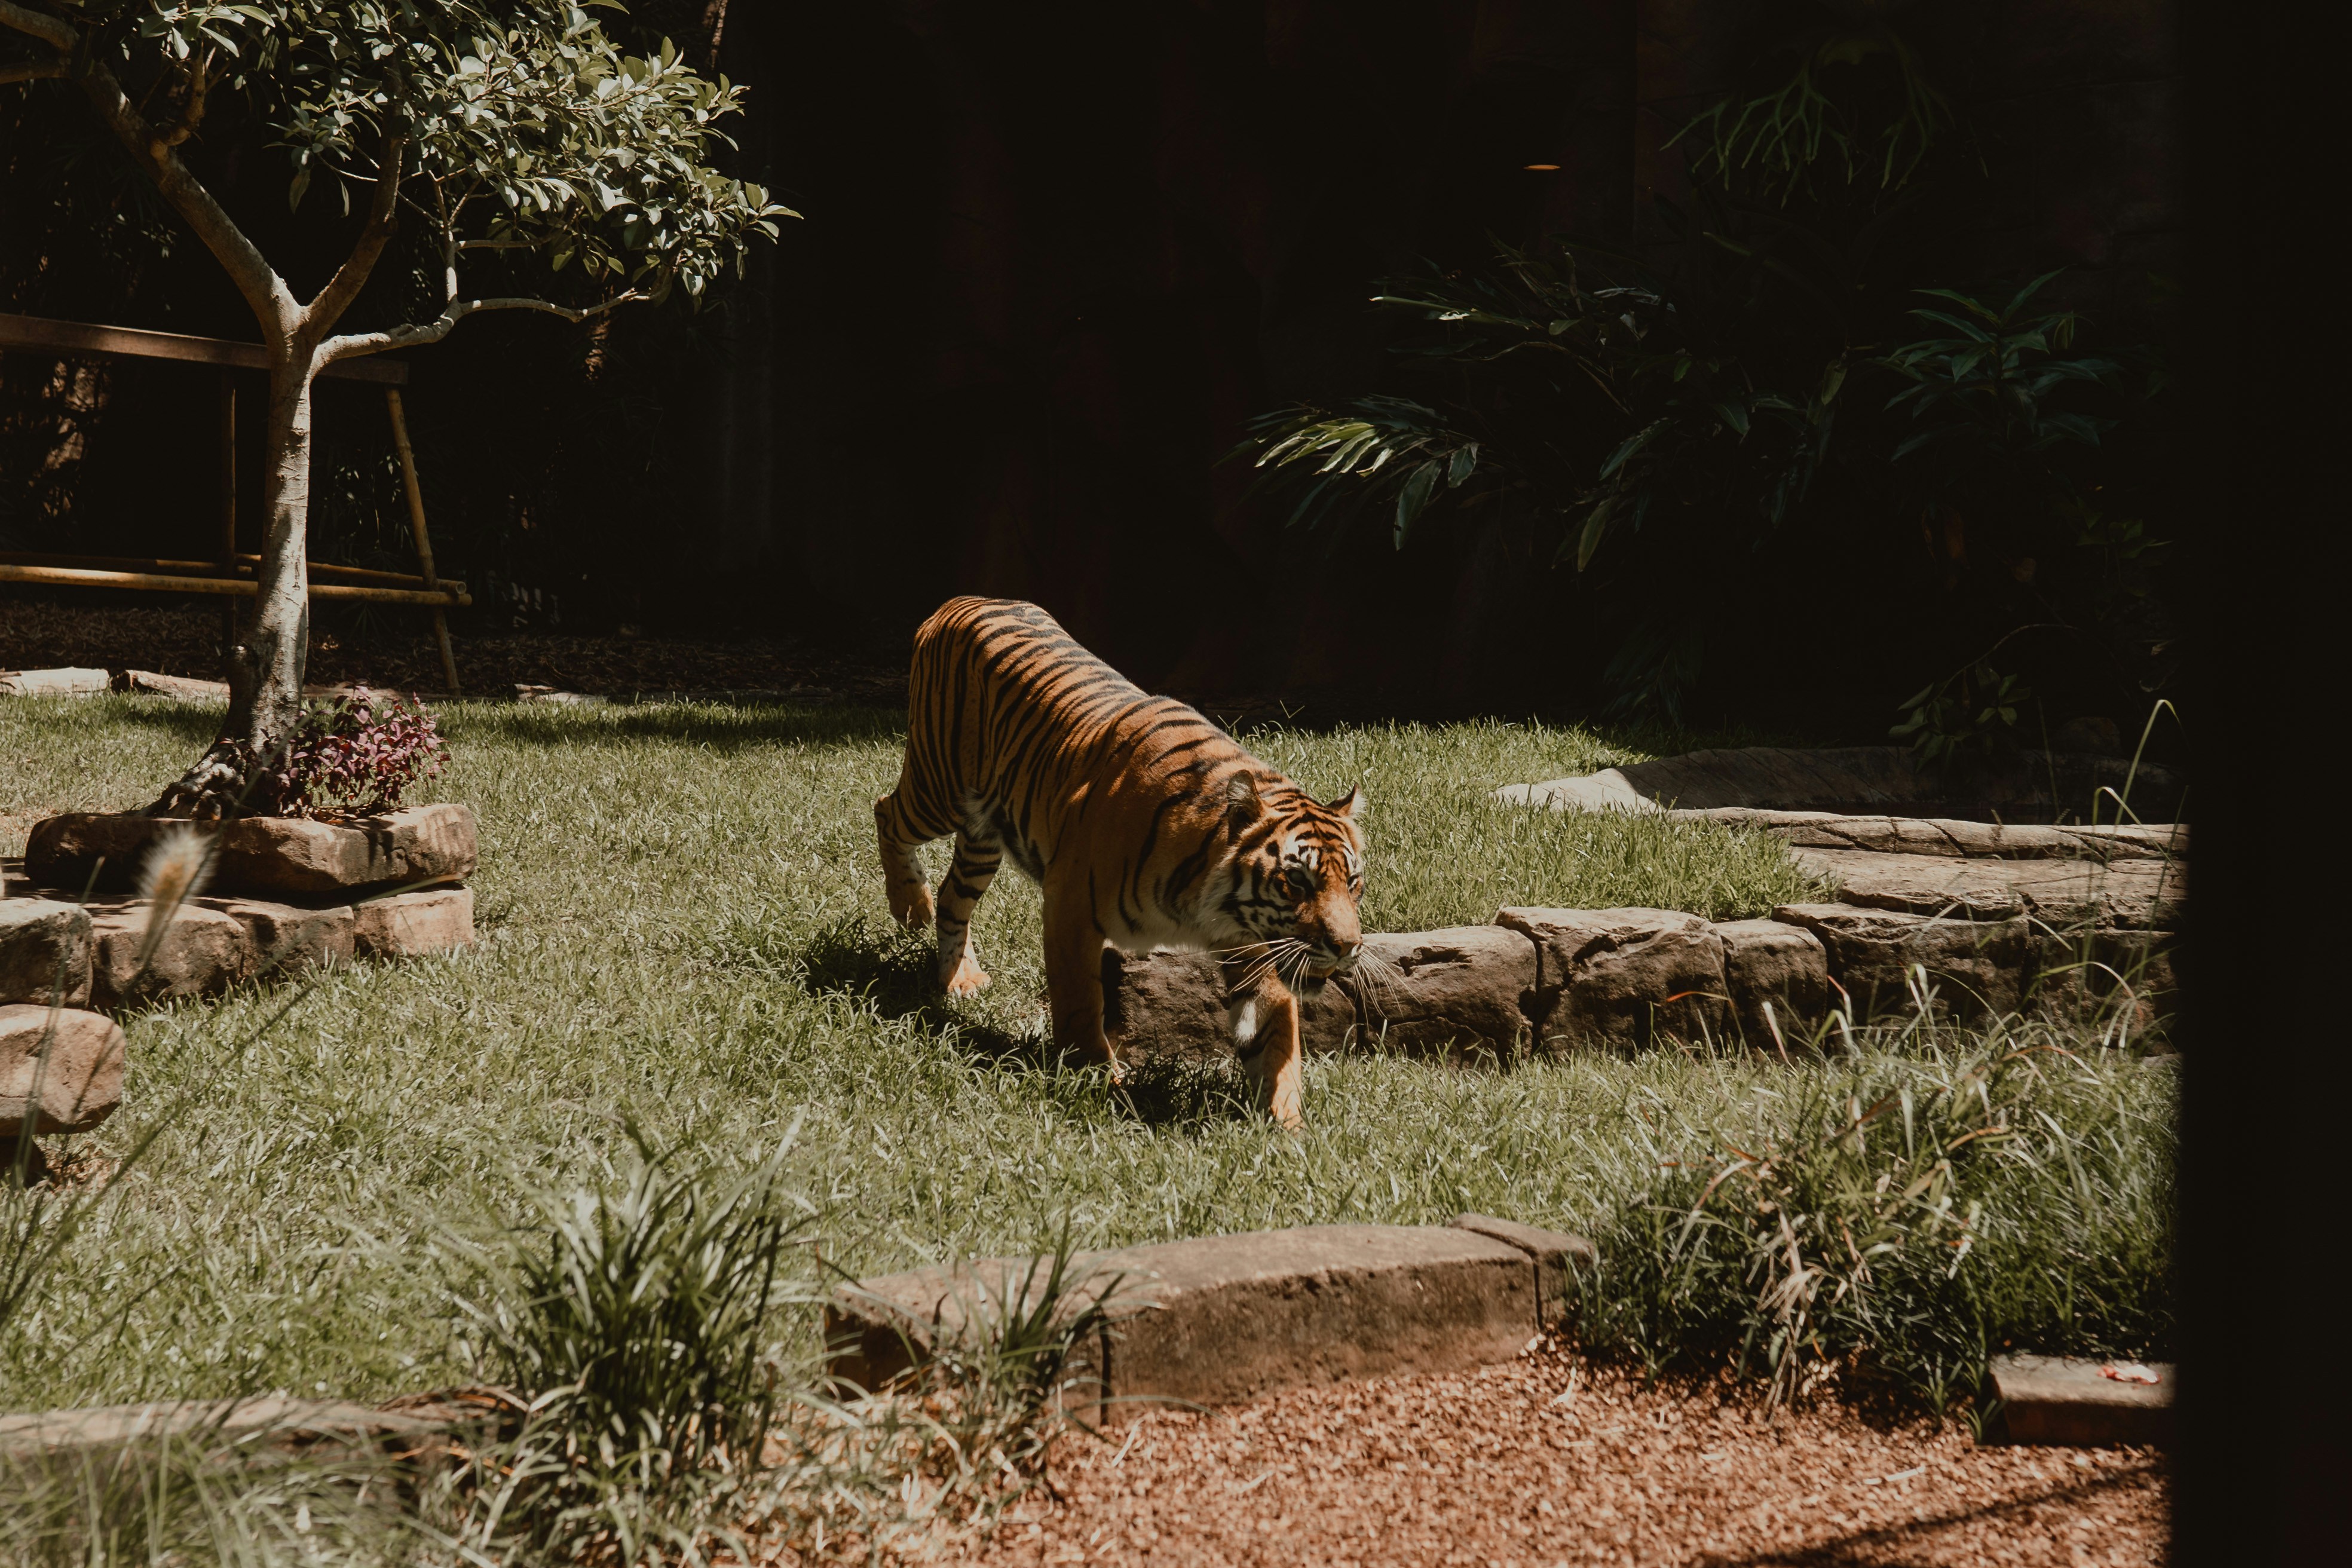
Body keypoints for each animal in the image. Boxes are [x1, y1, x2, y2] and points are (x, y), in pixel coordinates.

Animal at [874, 596, 1367, 1129]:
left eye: (1353, 883)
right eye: (1295, 882)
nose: (1347, 947)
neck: (1205, 905)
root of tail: (964, 600)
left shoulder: (1257, 946)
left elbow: (1277, 1041)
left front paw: (1288, 1126)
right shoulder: (1070, 910)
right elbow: (1081, 1006)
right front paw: (1099, 1084)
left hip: (983, 836)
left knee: (953, 898)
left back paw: (960, 978)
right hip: (938, 787)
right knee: (886, 812)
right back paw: (910, 907)